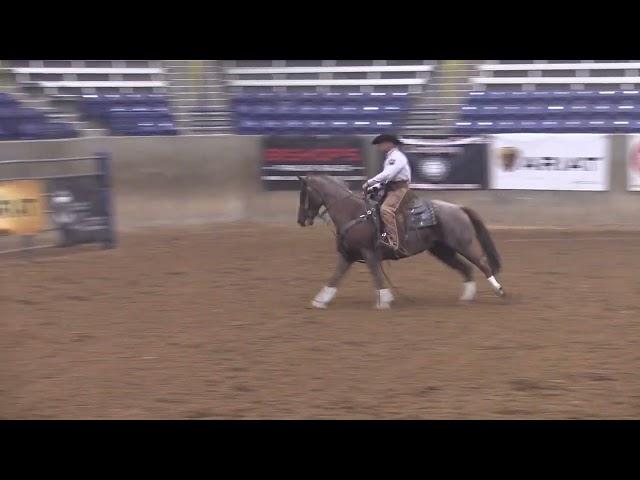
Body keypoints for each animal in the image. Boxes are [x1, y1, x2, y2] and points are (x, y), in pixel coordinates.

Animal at [296, 174, 504, 310]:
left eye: (303, 194)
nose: (301, 220)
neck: (353, 212)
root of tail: (459, 208)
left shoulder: (368, 253)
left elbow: (376, 275)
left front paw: (384, 300)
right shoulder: (349, 254)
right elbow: (336, 276)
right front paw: (320, 300)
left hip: (463, 244)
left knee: (483, 264)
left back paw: (499, 291)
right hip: (443, 251)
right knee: (466, 268)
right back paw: (466, 298)